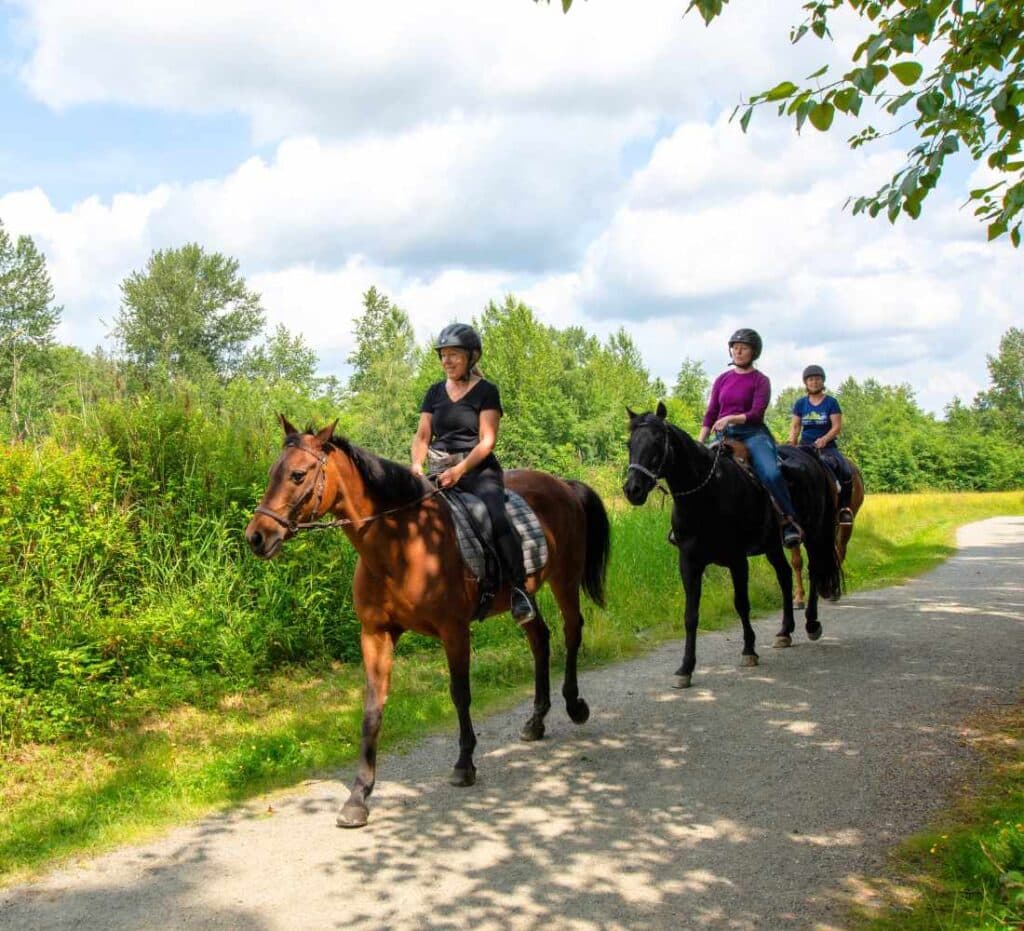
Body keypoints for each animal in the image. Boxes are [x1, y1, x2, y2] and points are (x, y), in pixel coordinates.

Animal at [245, 416, 611, 828]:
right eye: (274, 472)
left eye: (298, 474)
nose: (256, 536)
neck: (401, 544)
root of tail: (562, 484)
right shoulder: (376, 635)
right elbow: (372, 709)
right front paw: (358, 797)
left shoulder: (454, 631)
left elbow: (460, 694)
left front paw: (464, 764)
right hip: (526, 596)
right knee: (540, 640)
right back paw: (536, 721)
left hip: (565, 578)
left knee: (571, 631)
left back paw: (575, 705)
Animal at [623, 403, 842, 688]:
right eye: (630, 443)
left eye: (658, 442)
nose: (632, 489)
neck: (707, 493)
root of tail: (810, 456)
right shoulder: (689, 563)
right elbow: (690, 615)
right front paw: (685, 669)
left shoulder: (737, 560)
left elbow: (742, 603)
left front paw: (749, 650)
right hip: (773, 546)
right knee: (784, 576)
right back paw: (784, 632)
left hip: (815, 534)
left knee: (814, 571)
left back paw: (812, 625)